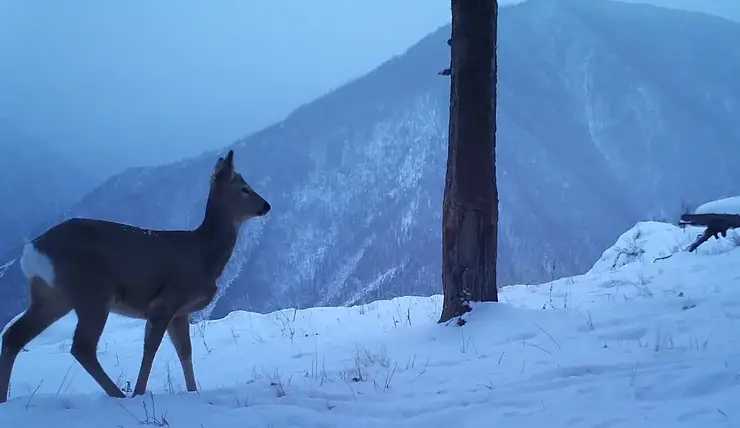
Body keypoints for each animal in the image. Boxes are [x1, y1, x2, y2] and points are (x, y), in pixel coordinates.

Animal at [0, 150, 268, 402]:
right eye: (244, 188)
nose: (266, 206)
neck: (203, 255)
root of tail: (31, 250)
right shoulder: (165, 300)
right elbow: (151, 348)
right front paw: (139, 393)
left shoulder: (180, 312)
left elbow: (185, 351)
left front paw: (193, 392)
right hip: (93, 292)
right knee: (82, 346)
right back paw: (119, 395)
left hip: (51, 297)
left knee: (14, 336)